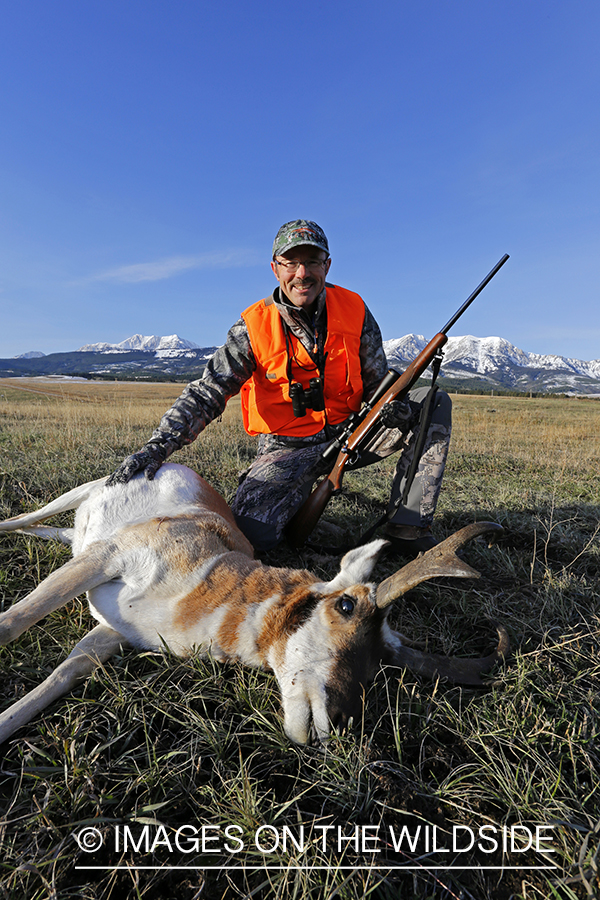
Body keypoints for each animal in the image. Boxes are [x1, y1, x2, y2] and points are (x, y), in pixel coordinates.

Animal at [0, 464, 508, 745]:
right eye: (346, 606)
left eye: (382, 662)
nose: (342, 722)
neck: (213, 576)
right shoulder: (108, 557)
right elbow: (12, 622)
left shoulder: (111, 633)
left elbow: (65, 671)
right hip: (78, 499)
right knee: (24, 518)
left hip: (76, 537)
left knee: (54, 533)